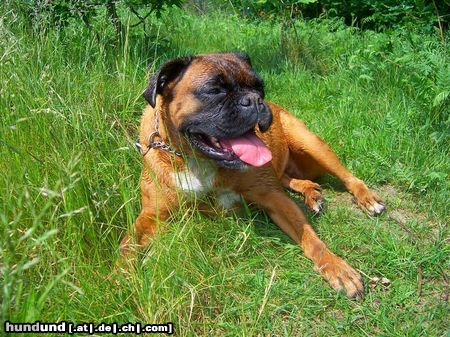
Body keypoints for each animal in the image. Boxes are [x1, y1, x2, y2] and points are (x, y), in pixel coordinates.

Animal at [118, 51, 384, 298]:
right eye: (214, 90)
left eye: (260, 87)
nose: (255, 99)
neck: (199, 161)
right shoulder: (151, 216)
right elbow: (127, 244)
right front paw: (119, 280)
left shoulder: (276, 199)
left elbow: (310, 237)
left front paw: (337, 267)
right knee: (291, 179)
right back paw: (312, 193)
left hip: (310, 142)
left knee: (349, 177)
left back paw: (367, 199)